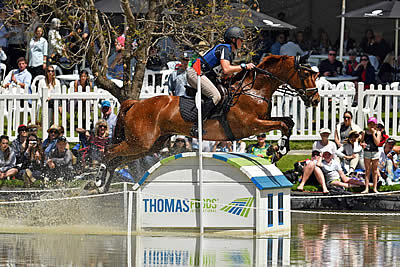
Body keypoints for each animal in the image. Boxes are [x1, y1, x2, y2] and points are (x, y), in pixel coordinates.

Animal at [93, 54, 318, 193]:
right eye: (306, 74)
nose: (315, 99)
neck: (255, 90)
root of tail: (135, 103)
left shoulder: (263, 120)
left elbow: (288, 122)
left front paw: (280, 150)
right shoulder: (251, 124)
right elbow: (282, 125)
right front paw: (280, 149)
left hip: (150, 145)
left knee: (118, 160)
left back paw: (102, 185)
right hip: (139, 142)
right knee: (110, 152)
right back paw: (97, 181)